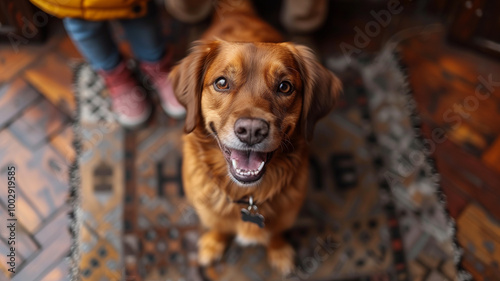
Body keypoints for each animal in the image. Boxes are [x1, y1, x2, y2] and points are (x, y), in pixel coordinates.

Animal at [170, 0, 342, 274]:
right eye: (221, 83)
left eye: (285, 86)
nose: (251, 130)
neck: (249, 198)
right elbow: (217, 226)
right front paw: (213, 244)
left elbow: (275, 233)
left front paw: (279, 251)